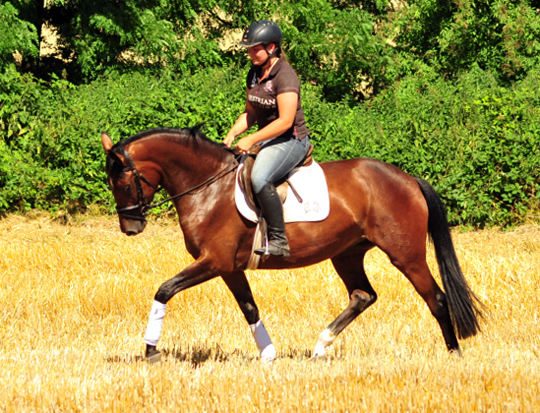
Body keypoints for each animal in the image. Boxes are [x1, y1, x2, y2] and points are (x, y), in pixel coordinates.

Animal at [101, 125, 486, 360]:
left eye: (122, 182)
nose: (129, 227)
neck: (209, 186)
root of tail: (407, 179)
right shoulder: (229, 268)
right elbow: (250, 308)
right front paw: (268, 355)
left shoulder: (214, 262)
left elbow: (164, 290)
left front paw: (151, 350)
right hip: (347, 253)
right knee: (362, 295)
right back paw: (320, 346)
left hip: (406, 255)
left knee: (436, 298)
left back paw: (453, 352)